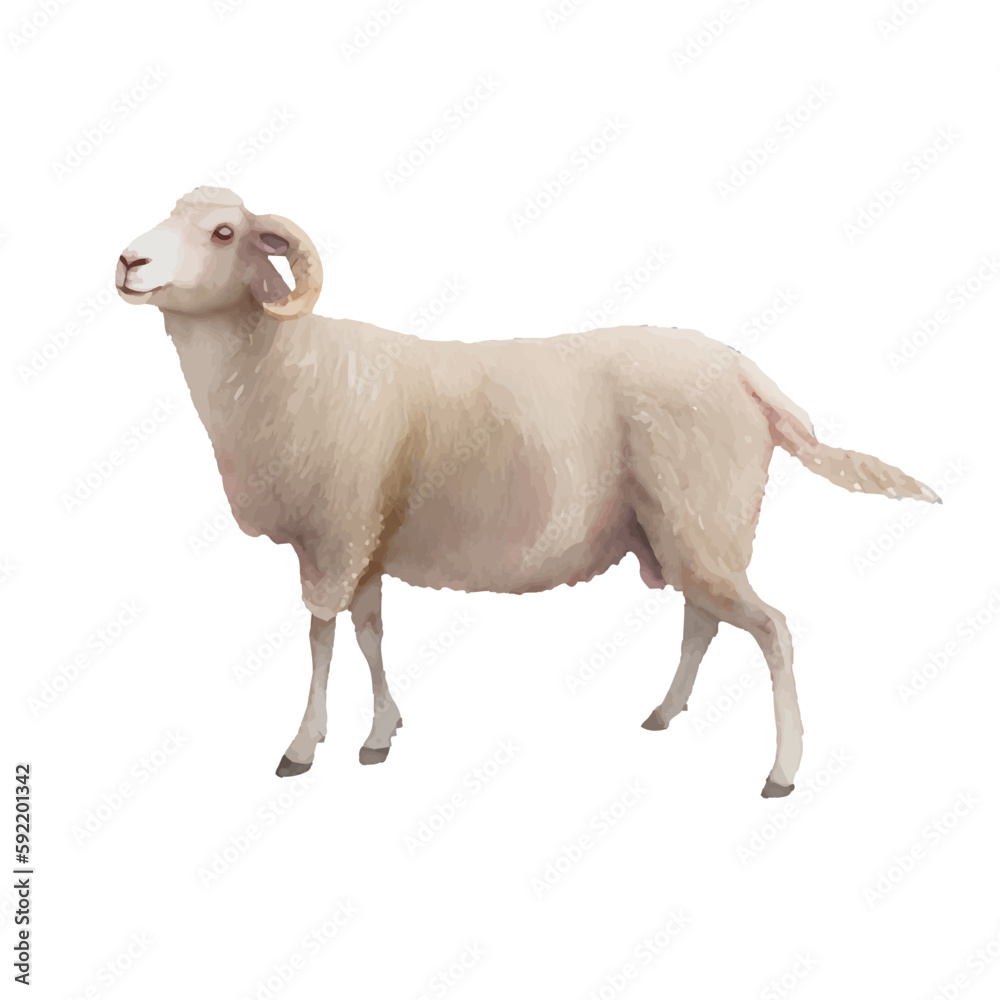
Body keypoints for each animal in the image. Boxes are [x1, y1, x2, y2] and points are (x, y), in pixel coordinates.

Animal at [116, 187, 939, 797]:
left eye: (225, 232)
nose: (128, 260)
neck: (284, 364)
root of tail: (747, 373)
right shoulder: (366, 540)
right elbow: (370, 633)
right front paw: (380, 734)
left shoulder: (334, 535)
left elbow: (321, 639)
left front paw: (302, 746)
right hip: (685, 530)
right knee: (704, 621)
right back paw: (666, 713)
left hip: (705, 522)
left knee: (772, 630)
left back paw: (781, 770)